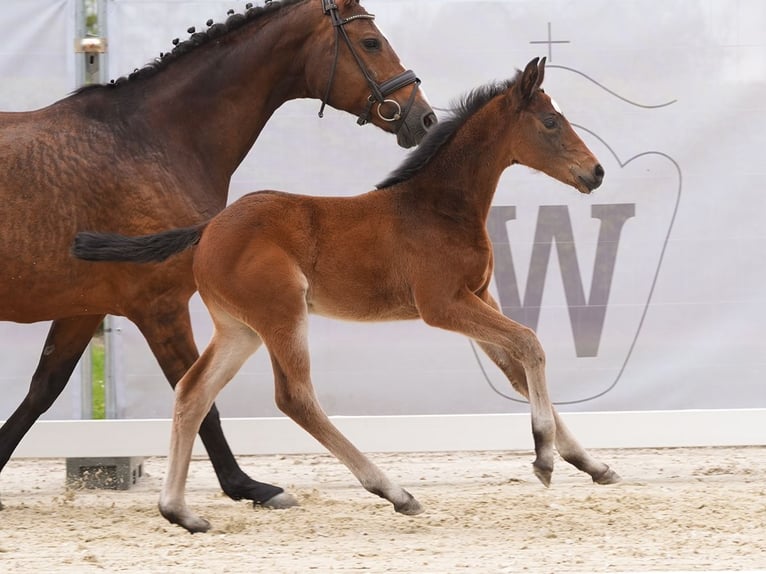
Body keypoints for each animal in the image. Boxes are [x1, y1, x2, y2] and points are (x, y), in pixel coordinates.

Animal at [0, 0, 436, 512]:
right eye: (371, 42)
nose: (423, 118)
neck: (153, 140)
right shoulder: (160, 306)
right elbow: (199, 399)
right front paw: (248, 486)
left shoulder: (85, 308)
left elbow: (41, 390)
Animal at [73, 58, 624, 536]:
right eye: (551, 121)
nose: (596, 172)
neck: (438, 207)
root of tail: (208, 228)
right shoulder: (443, 304)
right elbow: (530, 344)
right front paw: (544, 458)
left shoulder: (479, 297)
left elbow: (514, 368)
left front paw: (592, 464)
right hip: (281, 313)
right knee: (294, 397)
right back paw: (394, 492)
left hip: (240, 330)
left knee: (192, 392)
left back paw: (180, 512)